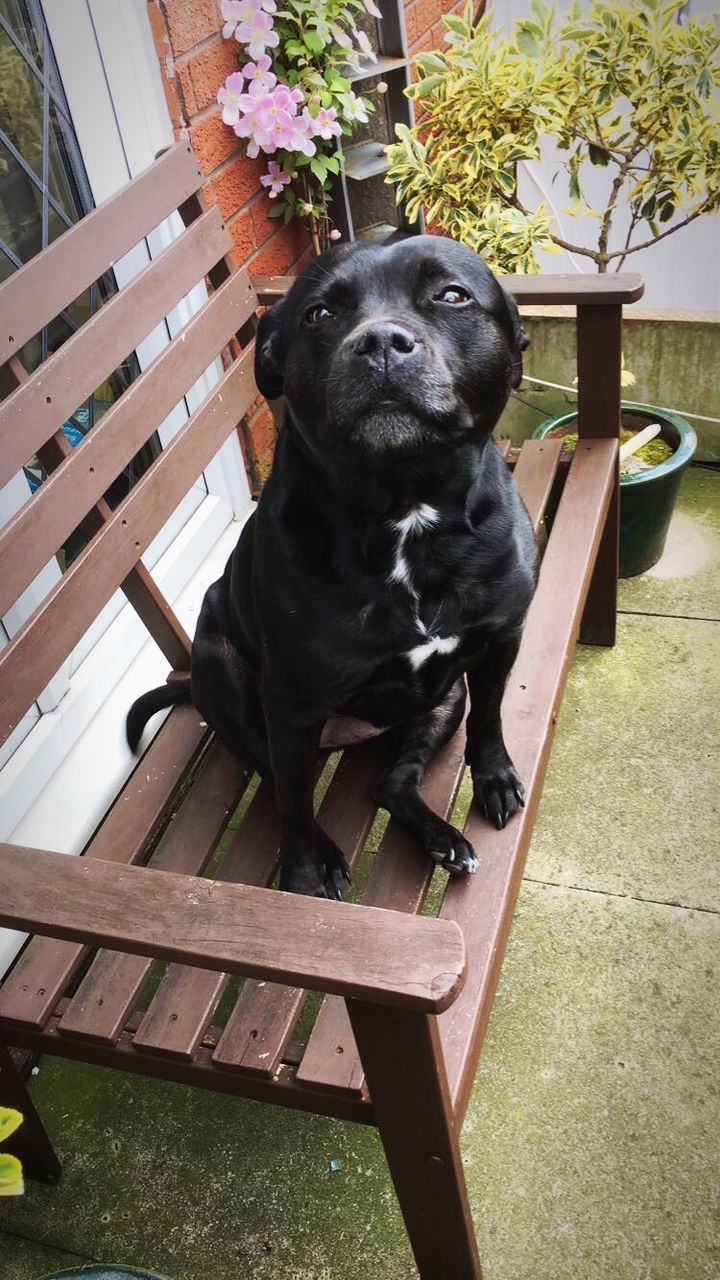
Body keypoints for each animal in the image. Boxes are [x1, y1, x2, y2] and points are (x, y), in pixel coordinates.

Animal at [126, 238, 535, 901]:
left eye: (452, 295)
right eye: (319, 314)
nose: (381, 341)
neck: (407, 513)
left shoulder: (501, 639)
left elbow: (492, 718)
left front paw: (495, 777)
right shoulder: (290, 703)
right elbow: (293, 804)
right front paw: (301, 870)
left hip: (443, 700)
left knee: (390, 783)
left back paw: (442, 839)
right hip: (230, 680)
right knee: (279, 784)